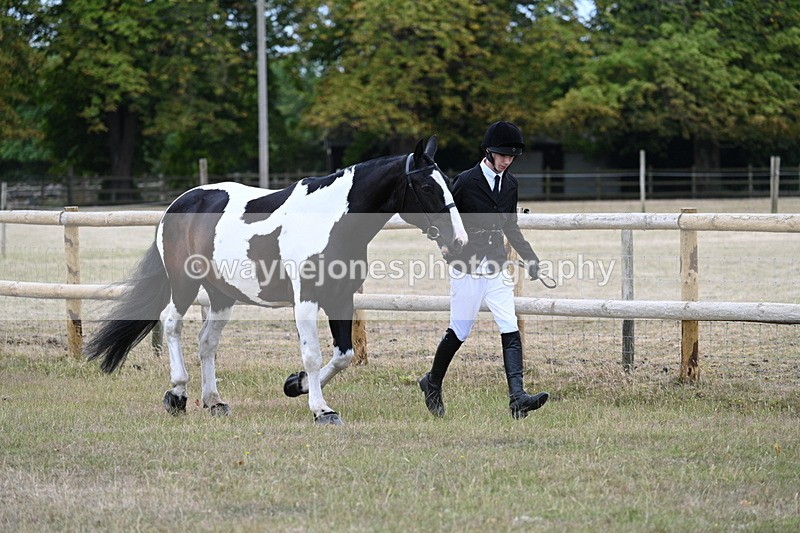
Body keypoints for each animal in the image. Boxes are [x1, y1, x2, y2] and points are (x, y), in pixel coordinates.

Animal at [85, 137, 468, 425]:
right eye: (424, 186)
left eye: (449, 184)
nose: (459, 241)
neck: (330, 221)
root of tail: (178, 204)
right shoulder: (307, 299)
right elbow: (312, 354)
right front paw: (322, 410)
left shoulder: (341, 298)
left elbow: (342, 355)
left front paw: (295, 384)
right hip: (183, 284)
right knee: (171, 325)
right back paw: (177, 395)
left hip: (222, 295)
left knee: (207, 342)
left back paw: (214, 401)